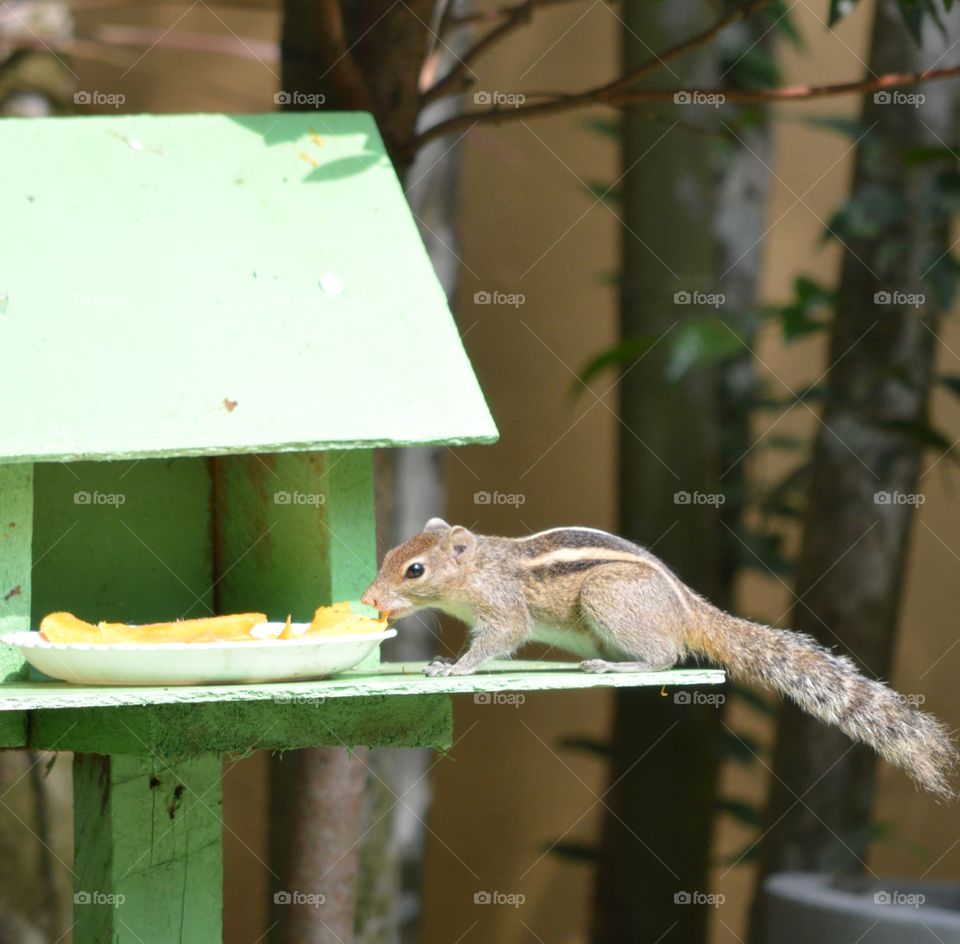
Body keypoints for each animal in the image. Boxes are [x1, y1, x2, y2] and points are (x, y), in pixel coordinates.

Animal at [361, 518, 959, 799]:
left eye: (414, 570)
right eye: (388, 555)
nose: (368, 598)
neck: (478, 568)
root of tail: (689, 609)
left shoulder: (503, 610)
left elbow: (497, 639)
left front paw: (450, 667)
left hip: (607, 598)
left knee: (665, 657)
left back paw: (617, 666)